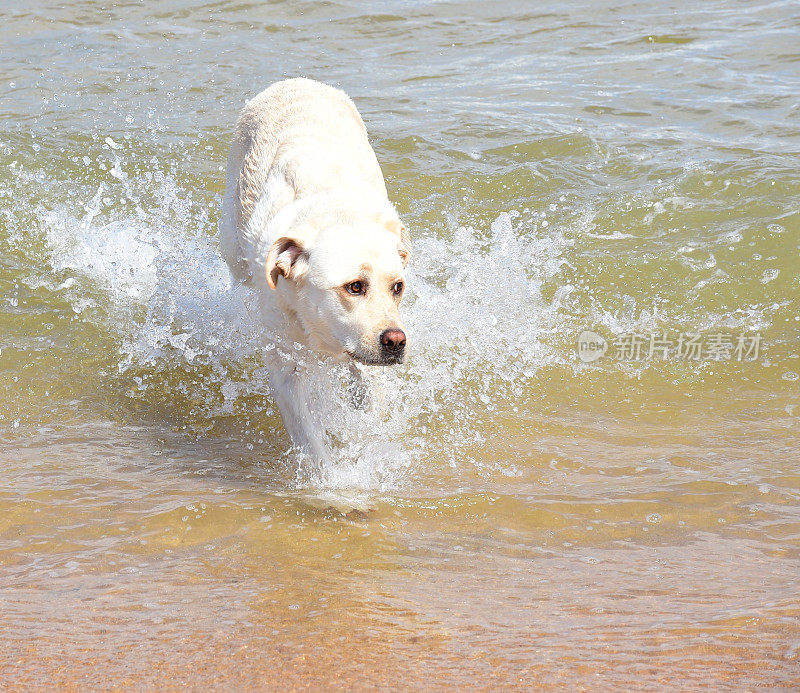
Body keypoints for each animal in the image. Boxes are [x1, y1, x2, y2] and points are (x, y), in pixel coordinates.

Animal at [220, 77, 412, 454]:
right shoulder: (286, 366)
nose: (396, 341)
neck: (337, 214)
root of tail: (294, 81)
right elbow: (311, 441)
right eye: (355, 286)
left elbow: (369, 412)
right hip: (232, 250)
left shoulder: (369, 364)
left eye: (397, 287)